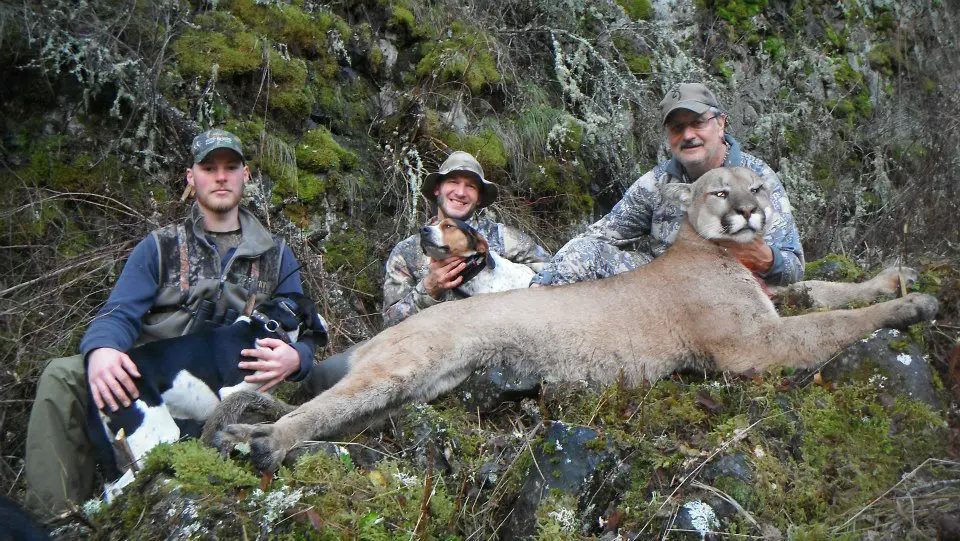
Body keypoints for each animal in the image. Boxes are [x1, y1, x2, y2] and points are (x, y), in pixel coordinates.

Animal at [212, 167, 938, 472]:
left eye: (756, 186)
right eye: (718, 190)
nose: (750, 211)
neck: (720, 252)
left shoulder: (770, 304)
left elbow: (821, 290)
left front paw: (898, 280)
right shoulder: (751, 345)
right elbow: (835, 324)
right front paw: (907, 303)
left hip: (420, 386)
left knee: (342, 411)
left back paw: (250, 430)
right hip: (414, 362)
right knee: (319, 406)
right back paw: (261, 442)